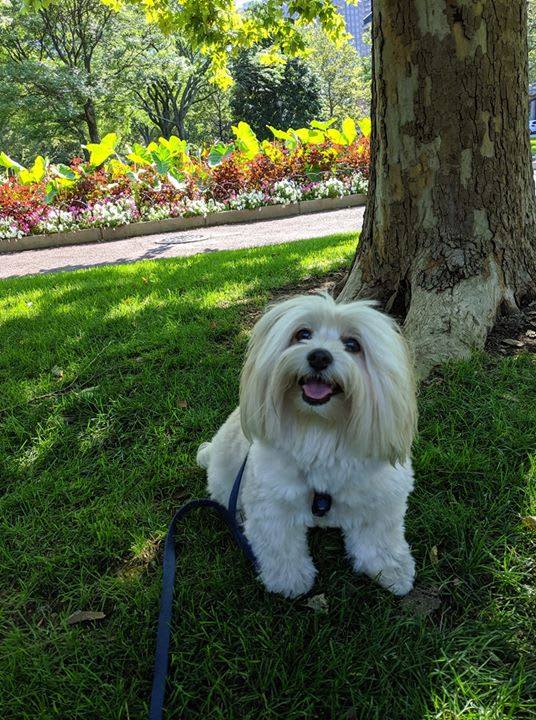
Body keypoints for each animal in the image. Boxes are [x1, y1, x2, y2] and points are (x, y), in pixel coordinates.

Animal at [197, 293, 417, 598]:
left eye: (353, 345)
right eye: (302, 334)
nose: (319, 356)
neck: (321, 430)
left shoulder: (380, 498)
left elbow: (380, 539)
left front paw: (392, 571)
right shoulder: (272, 504)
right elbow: (281, 547)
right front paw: (290, 582)